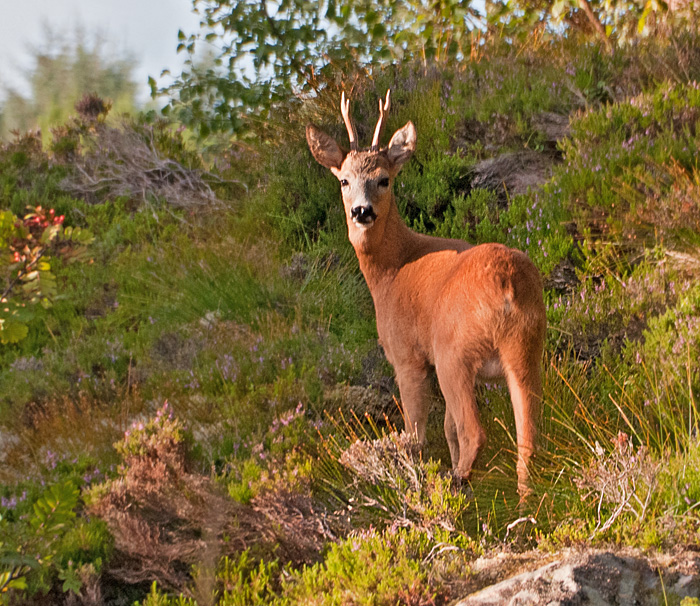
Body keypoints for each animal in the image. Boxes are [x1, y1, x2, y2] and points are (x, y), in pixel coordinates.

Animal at [306, 91, 548, 498]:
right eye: (343, 180)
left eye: (384, 179)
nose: (361, 211)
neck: (391, 270)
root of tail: (507, 283)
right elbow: (447, 431)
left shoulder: (408, 357)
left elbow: (416, 435)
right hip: (525, 347)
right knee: (528, 435)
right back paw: (525, 502)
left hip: (455, 352)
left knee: (474, 432)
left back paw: (455, 486)